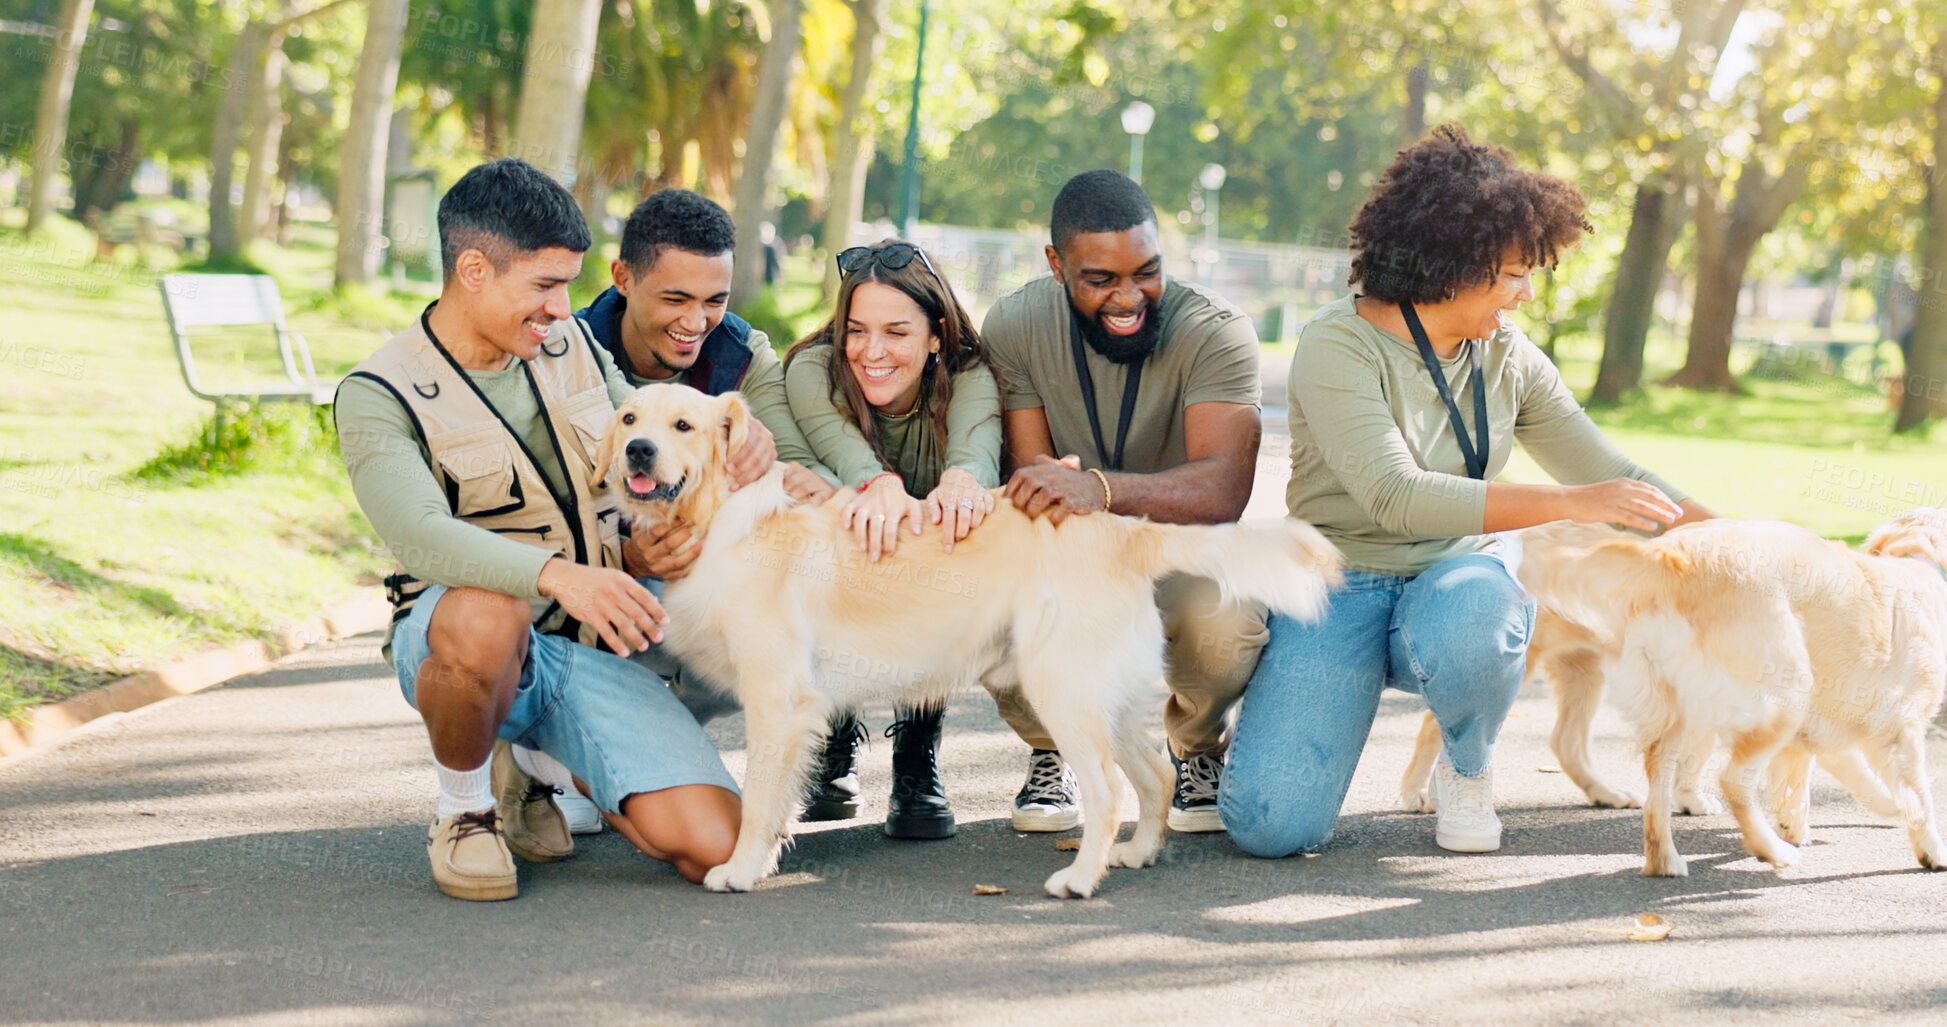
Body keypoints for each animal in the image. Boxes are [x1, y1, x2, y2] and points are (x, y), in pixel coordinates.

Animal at [599, 387, 1347, 900]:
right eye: (631, 420)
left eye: (684, 426)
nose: (638, 452)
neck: (724, 519)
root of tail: (1121, 528)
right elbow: (779, 799)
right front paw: (767, 857)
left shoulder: (776, 702)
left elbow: (756, 798)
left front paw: (740, 867)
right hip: (1106, 694)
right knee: (1155, 776)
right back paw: (1136, 854)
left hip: (1061, 688)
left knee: (1108, 790)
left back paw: (1081, 879)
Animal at [1518, 514, 1947, 876]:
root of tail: (1669, 555)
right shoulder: (1899, 728)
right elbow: (1917, 796)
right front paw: (1930, 847)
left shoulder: (1819, 732)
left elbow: (1815, 781)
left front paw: (1799, 822)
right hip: (1784, 691)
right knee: (1732, 780)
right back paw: (1772, 851)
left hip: (1665, 705)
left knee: (1651, 780)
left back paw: (1665, 859)